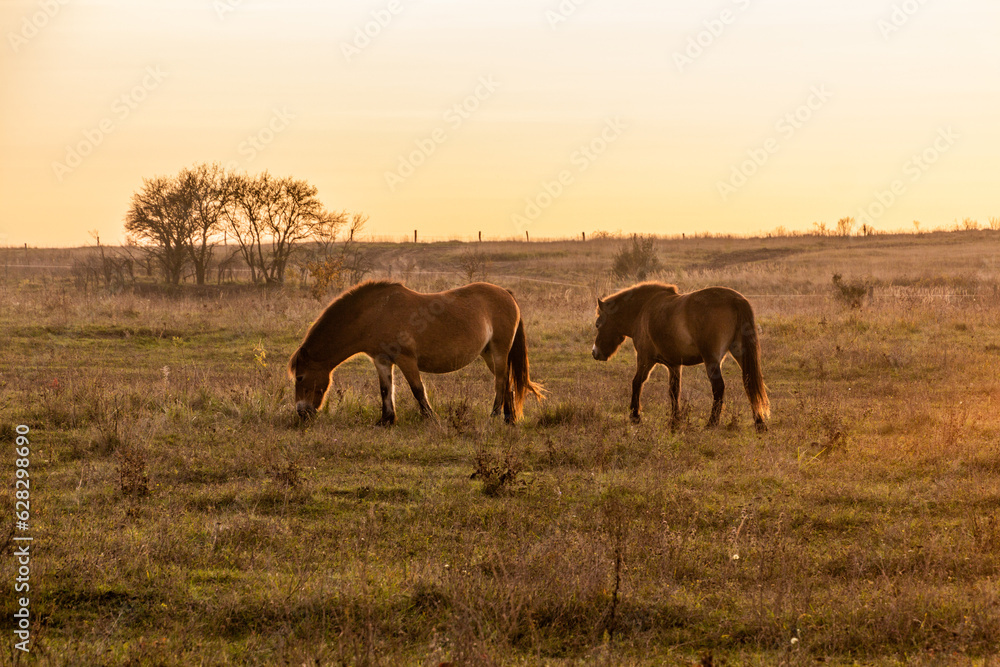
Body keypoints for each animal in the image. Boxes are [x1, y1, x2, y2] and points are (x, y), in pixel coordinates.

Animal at [288, 280, 548, 426]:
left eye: (300, 377)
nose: (302, 413)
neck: (376, 313)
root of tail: (506, 293)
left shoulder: (406, 360)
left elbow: (417, 390)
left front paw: (431, 419)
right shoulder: (382, 361)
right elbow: (386, 390)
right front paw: (386, 420)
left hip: (499, 352)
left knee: (501, 383)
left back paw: (494, 417)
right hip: (489, 355)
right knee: (508, 383)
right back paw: (509, 418)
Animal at [588, 284, 768, 434]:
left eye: (598, 324)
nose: (595, 353)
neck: (643, 310)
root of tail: (735, 299)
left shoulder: (645, 359)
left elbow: (637, 382)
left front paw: (635, 416)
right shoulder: (674, 365)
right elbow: (674, 391)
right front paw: (675, 421)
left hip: (711, 360)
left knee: (719, 388)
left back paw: (712, 423)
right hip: (740, 354)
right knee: (750, 384)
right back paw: (759, 423)